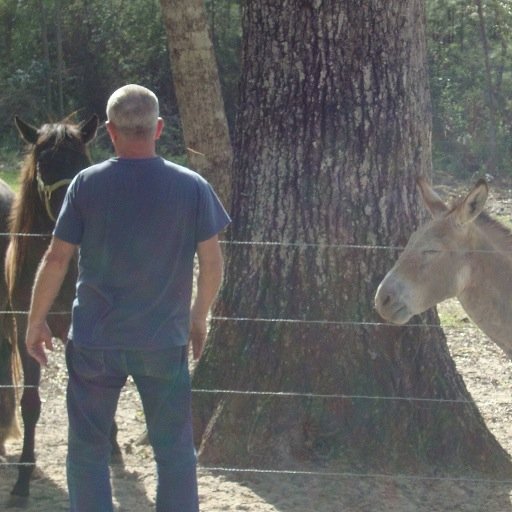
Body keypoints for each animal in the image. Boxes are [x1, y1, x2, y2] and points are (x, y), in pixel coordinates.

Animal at [3, 114, 121, 502]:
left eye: (82, 161)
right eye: (44, 162)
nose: (72, 212)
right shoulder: (26, 332)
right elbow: (30, 404)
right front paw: (23, 481)